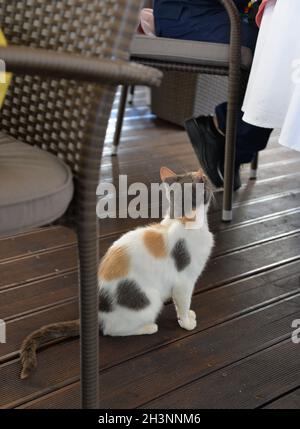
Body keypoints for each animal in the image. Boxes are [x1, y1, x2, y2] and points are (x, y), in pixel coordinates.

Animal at [19, 167, 213, 378]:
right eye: (202, 180)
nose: (206, 176)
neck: (182, 221)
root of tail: (98, 313)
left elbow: (180, 305)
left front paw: (186, 315)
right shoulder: (184, 282)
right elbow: (184, 303)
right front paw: (186, 322)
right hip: (150, 301)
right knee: (112, 330)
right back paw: (148, 327)